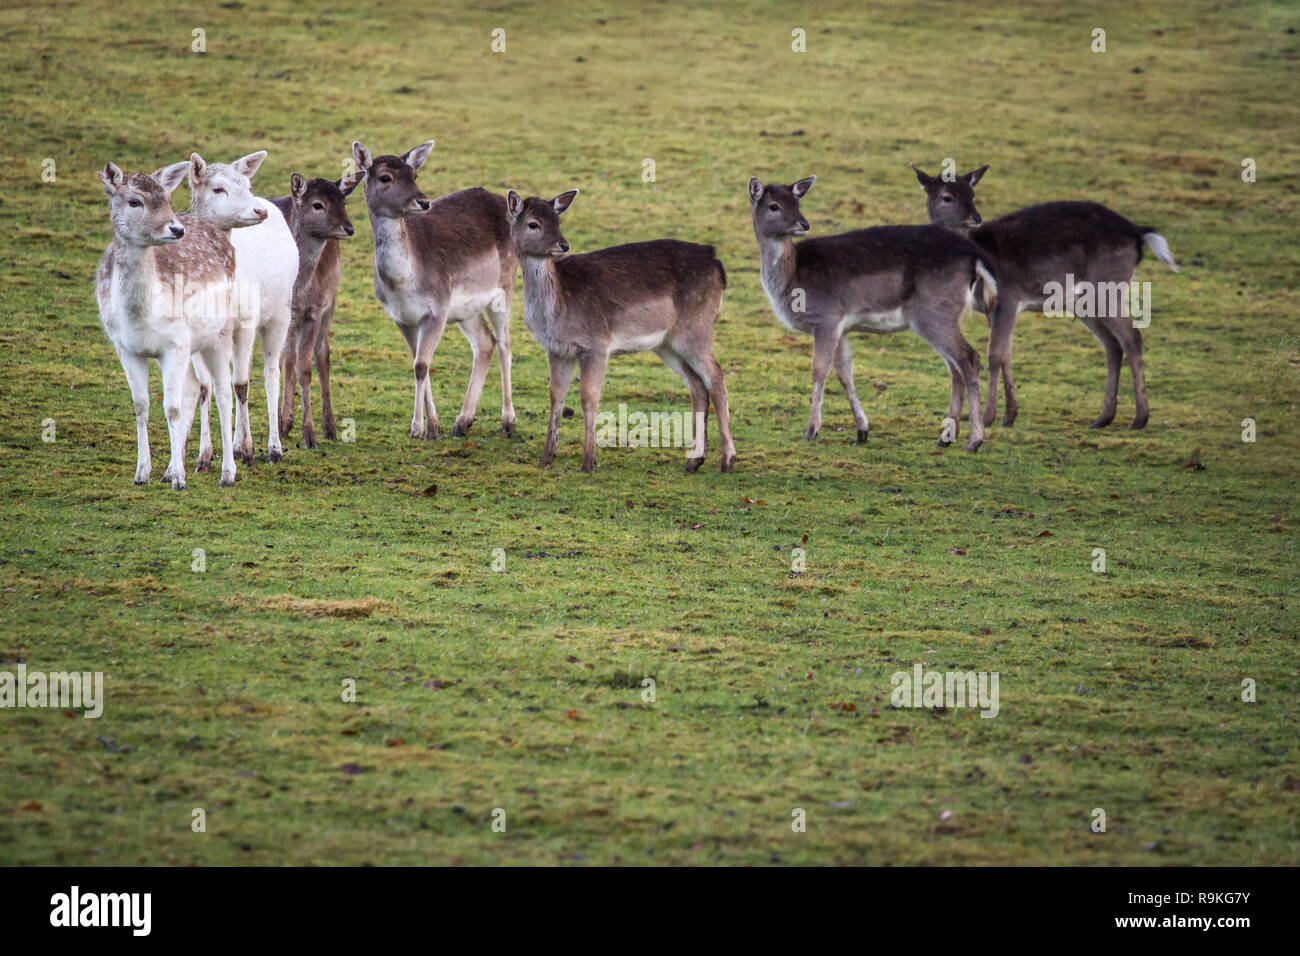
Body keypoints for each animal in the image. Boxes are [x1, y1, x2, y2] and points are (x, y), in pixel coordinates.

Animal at [269, 172, 361, 452]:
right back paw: (284, 423)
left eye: (344, 201)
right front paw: (283, 425)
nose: (348, 228)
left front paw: (310, 435)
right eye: (317, 204)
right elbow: (286, 363)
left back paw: (329, 427)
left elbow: (305, 368)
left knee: (322, 353)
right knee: (288, 357)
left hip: (330, 303)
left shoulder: (313, 311)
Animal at [356, 139, 522, 442]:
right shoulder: (401, 318)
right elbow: (418, 363)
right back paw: (462, 421)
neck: (404, 282)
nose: (423, 201)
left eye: (414, 174)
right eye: (385, 177)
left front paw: (417, 428)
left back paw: (508, 422)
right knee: (485, 344)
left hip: (504, 287)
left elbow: (422, 365)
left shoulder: (437, 309)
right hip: (467, 310)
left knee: (504, 343)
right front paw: (432, 427)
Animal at [504, 187, 738, 476]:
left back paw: (727, 460)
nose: (563, 245)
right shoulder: (558, 349)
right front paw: (546, 457)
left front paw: (588, 461)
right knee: (697, 386)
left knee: (716, 376)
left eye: (558, 220)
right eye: (533, 223)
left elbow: (588, 397)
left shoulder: (596, 344)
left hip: (696, 328)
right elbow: (555, 396)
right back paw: (694, 460)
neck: (556, 307)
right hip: (667, 343)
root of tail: (717, 264)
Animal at [754, 175, 993, 452]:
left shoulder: (826, 317)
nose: (803, 223)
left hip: (934, 312)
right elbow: (845, 374)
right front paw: (862, 432)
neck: (792, 278)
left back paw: (974, 440)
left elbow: (819, 370)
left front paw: (811, 431)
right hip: (943, 315)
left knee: (969, 358)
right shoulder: (841, 325)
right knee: (955, 366)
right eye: (774, 205)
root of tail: (974, 256)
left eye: (797, 201)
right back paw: (944, 439)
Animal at [915, 163, 1180, 429]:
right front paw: (1010, 415)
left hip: (1109, 283)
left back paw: (1139, 418)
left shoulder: (1009, 296)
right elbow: (1006, 354)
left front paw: (989, 417)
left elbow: (995, 355)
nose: (976, 218)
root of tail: (1137, 233)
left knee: (1131, 337)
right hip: (1085, 301)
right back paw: (1103, 417)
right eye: (947, 197)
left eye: (972, 194)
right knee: (1112, 344)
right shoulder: (995, 308)